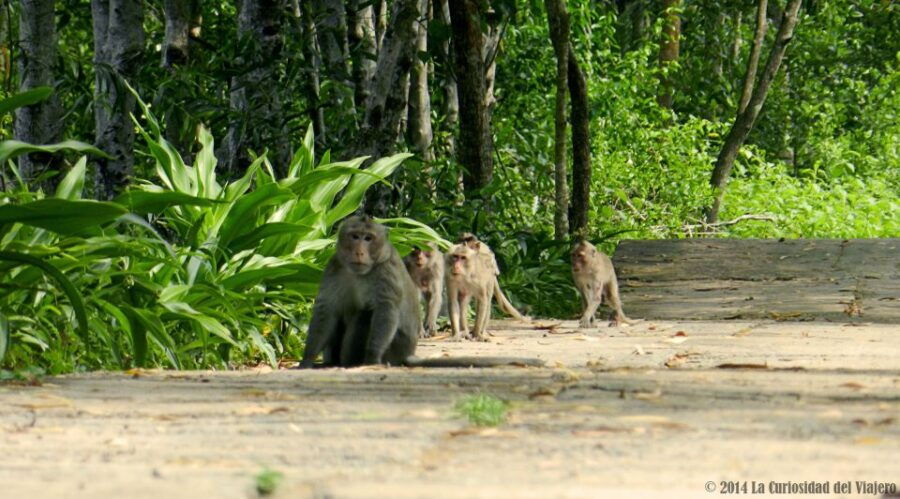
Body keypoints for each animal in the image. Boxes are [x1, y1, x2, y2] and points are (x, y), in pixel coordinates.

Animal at [298, 217, 544, 370]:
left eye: (368, 238)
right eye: (355, 236)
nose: (359, 251)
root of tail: (408, 352)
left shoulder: (387, 272)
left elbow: (386, 310)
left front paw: (372, 358)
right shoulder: (335, 266)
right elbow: (326, 310)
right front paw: (307, 359)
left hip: (395, 347)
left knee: (365, 315)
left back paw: (352, 362)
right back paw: (331, 362)